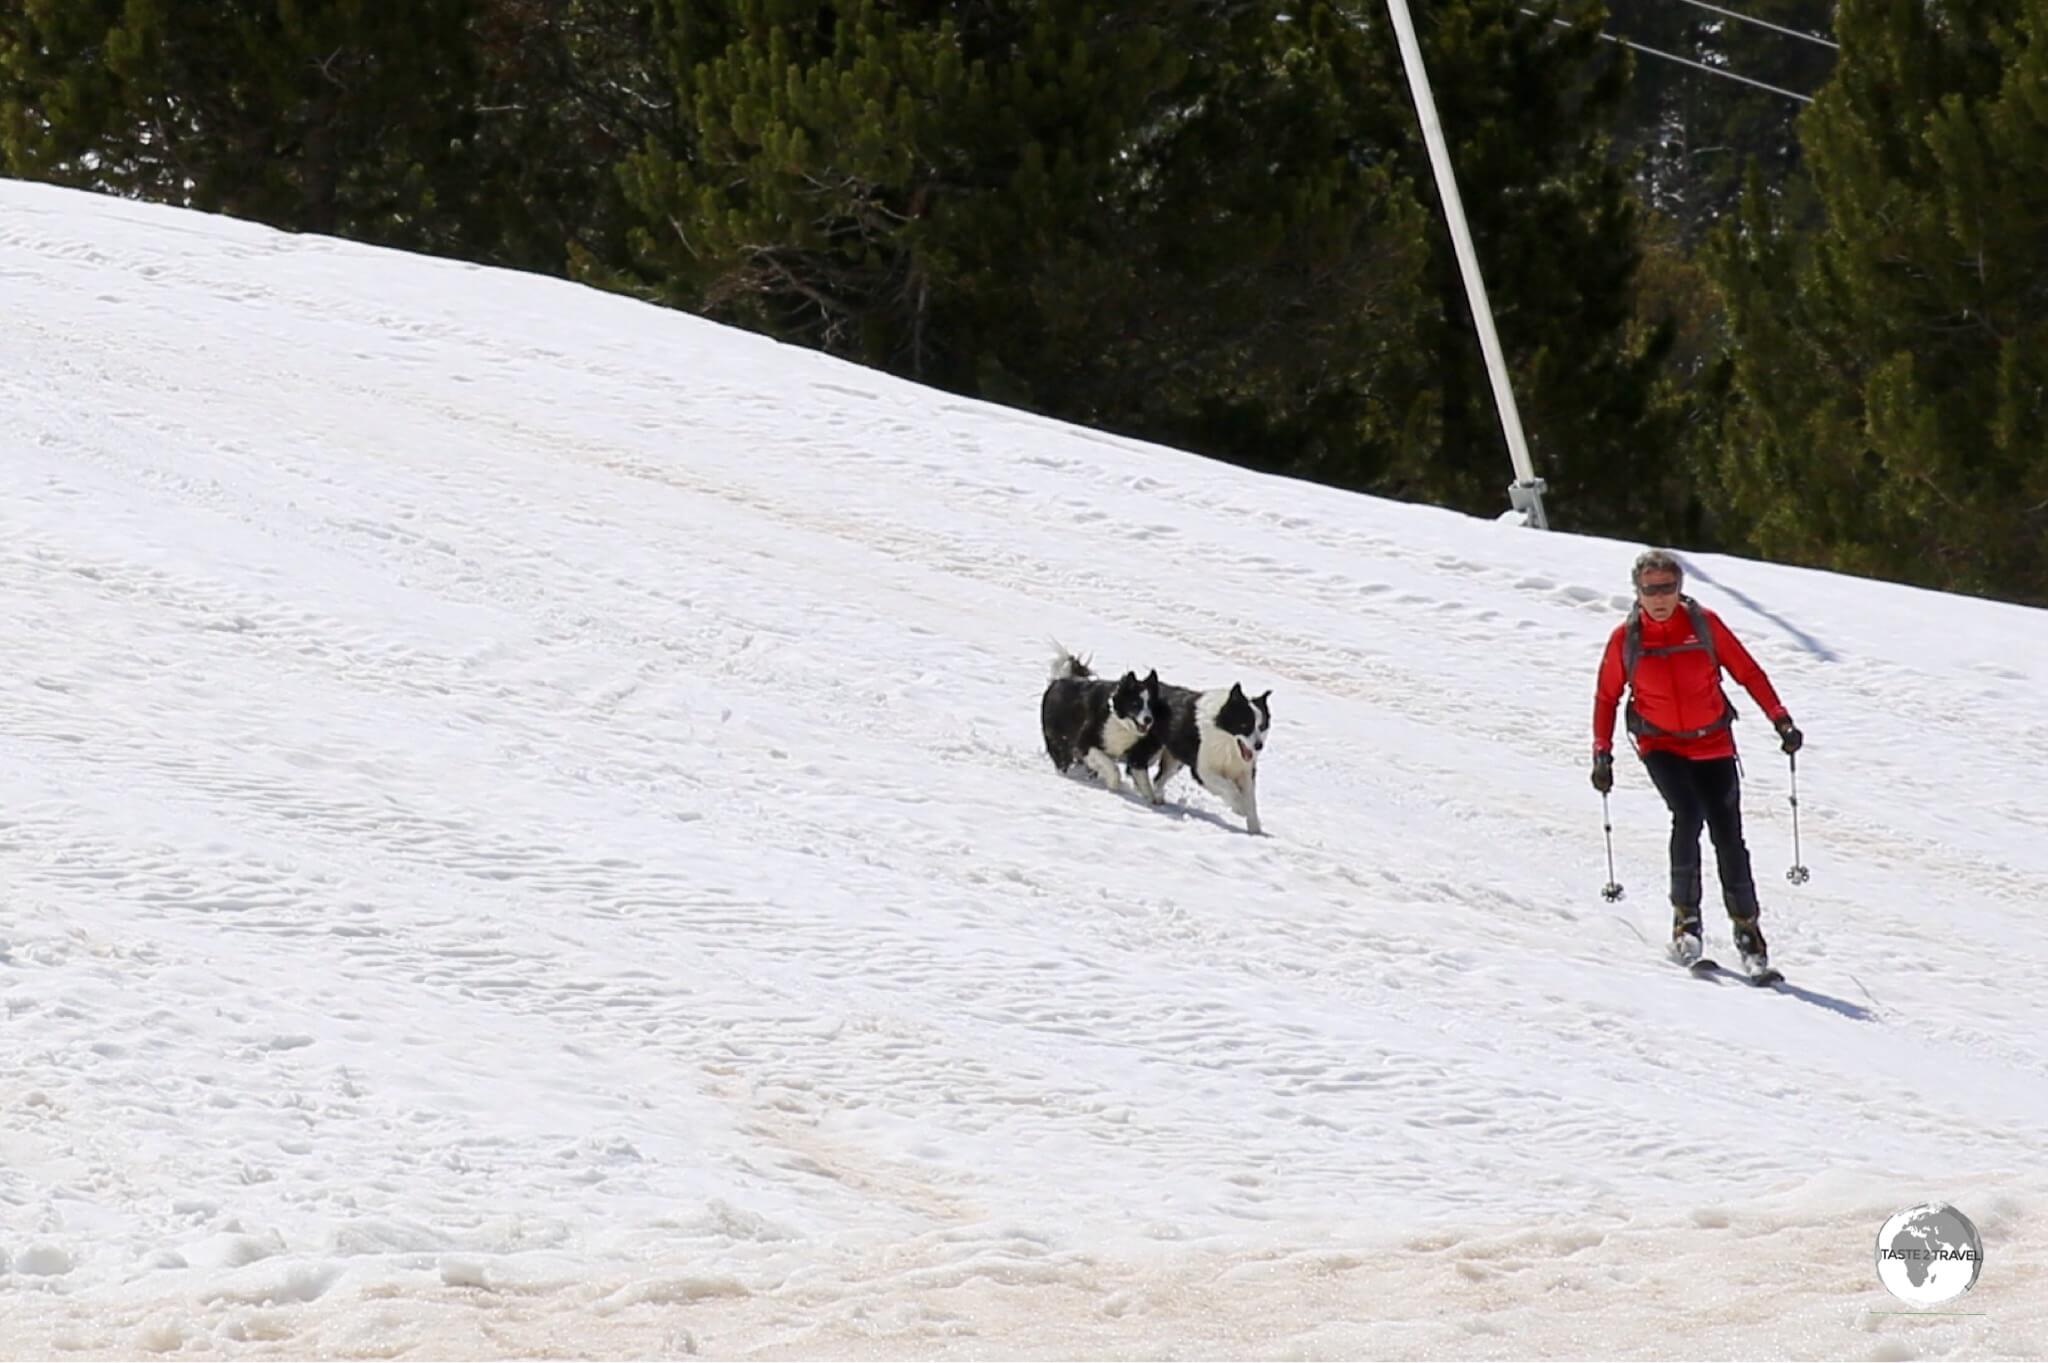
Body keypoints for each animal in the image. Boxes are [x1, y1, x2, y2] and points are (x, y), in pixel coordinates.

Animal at [1040, 646, 1155, 789]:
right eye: (1135, 704)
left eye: (1152, 704)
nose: (1148, 719)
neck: (1117, 719)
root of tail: (1059, 680)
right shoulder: (1084, 743)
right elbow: (1111, 767)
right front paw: (1113, 784)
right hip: (1059, 740)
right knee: (1062, 760)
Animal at [1130, 675, 1269, 834]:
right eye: (1245, 725)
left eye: (1262, 726)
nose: (1259, 746)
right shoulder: (1202, 770)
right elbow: (1229, 786)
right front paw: (1239, 808)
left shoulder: (1245, 772)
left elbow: (1251, 800)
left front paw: (1255, 830)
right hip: (1152, 744)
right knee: (1137, 763)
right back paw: (1144, 792)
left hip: (1174, 760)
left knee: (1159, 778)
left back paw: (1157, 798)